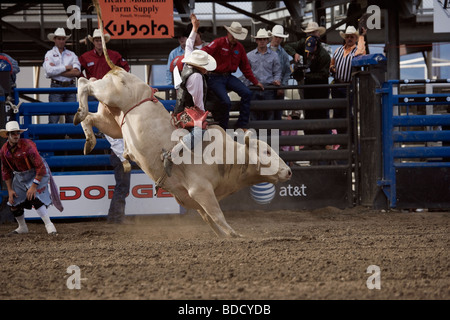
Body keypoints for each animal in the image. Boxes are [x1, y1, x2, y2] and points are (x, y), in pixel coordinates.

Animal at [74, 0, 292, 238]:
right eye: (267, 151)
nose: (289, 171)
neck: (229, 156)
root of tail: (118, 69)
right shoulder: (202, 190)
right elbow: (218, 216)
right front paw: (237, 235)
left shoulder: (192, 199)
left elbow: (210, 220)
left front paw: (223, 236)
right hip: (110, 94)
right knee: (85, 83)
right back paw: (81, 111)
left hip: (112, 120)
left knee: (92, 118)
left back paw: (87, 135)